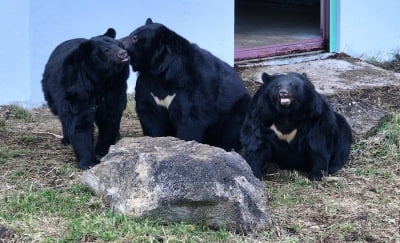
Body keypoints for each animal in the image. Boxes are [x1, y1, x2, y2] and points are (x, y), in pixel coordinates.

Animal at [40, 28, 129, 169]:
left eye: (119, 44)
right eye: (106, 50)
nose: (123, 53)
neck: (101, 78)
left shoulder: (116, 86)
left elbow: (110, 116)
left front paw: (103, 149)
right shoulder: (77, 86)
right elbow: (80, 120)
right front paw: (89, 162)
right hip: (52, 91)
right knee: (63, 115)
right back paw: (66, 139)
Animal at [119, 18, 250, 151]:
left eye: (135, 38)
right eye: (131, 34)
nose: (118, 42)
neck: (160, 72)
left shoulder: (193, 84)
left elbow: (190, 117)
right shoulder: (147, 84)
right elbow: (150, 115)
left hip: (237, 109)